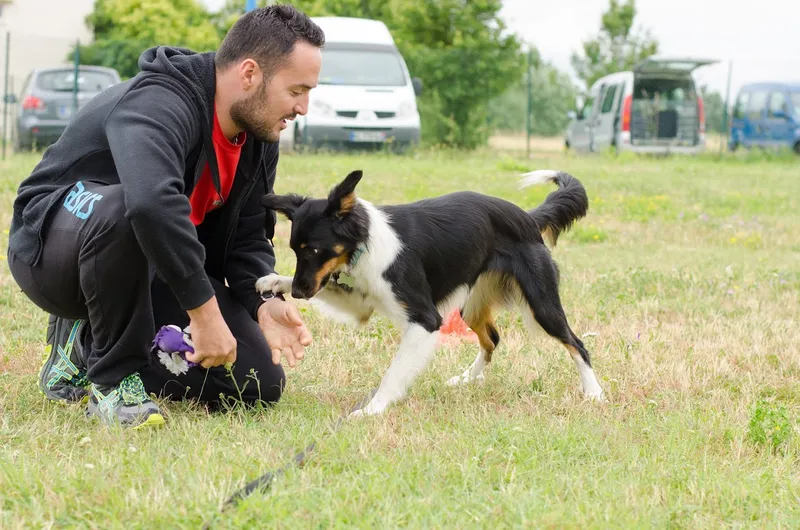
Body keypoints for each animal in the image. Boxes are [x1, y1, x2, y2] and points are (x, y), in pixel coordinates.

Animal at [258, 168, 608, 412]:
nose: (299, 293)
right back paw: (467, 378)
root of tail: (529, 218)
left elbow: (394, 373)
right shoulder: (362, 303)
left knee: (577, 344)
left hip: (541, 304)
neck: (366, 242)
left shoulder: (425, 320)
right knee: (492, 339)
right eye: (295, 250)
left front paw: (372, 409)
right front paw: (274, 280)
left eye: (315, 250)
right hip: (471, 303)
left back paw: (594, 392)